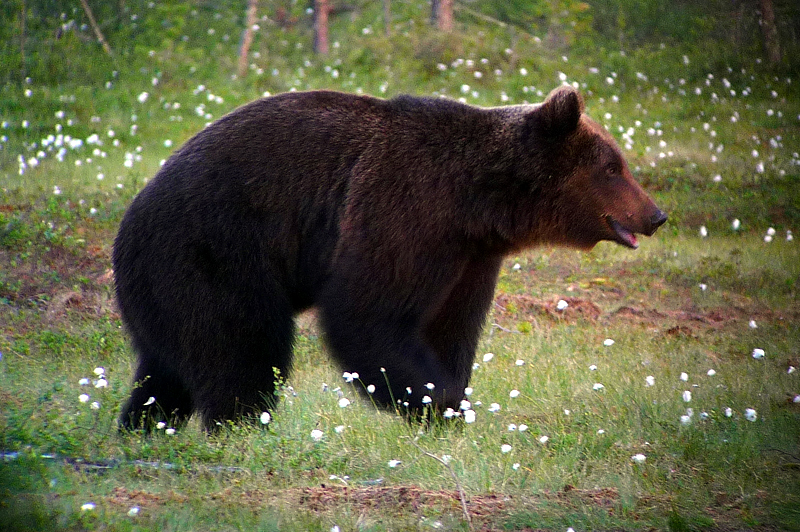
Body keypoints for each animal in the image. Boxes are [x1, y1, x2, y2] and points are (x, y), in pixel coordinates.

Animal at [111, 84, 664, 432]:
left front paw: (451, 405)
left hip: (162, 284)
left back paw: (142, 428)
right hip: (212, 250)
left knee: (167, 367)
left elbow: (450, 326)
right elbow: (366, 314)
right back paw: (243, 427)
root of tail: (131, 215)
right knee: (241, 346)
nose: (655, 215)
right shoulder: (406, 209)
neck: (478, 202)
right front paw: (439, 403)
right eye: (613, 167)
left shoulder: (468, 256)